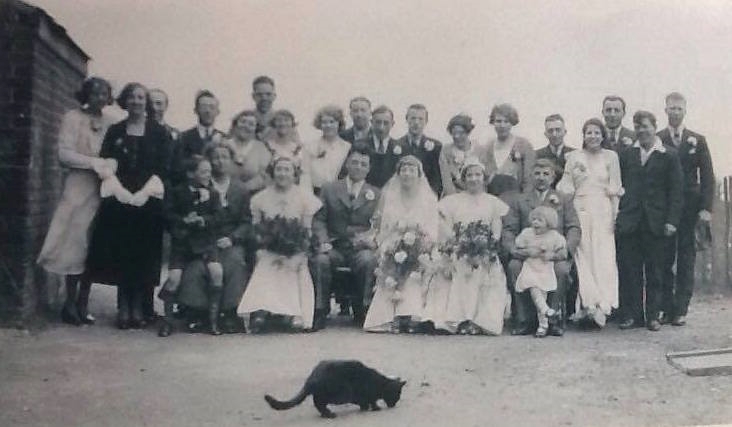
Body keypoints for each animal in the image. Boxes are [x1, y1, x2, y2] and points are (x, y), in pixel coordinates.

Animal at [264, 360, 406, 418]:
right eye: (397, 395)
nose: (394, 404)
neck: (380, 384)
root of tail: (312, 377)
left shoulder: (359, 396)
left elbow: (364, 402)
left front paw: (365, 407)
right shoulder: (365, 394)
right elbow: (371, 401)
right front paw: (375, 408)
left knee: (318, 402)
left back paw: (325, 414)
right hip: (340, 393)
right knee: (319, 402)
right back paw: (329, 414)